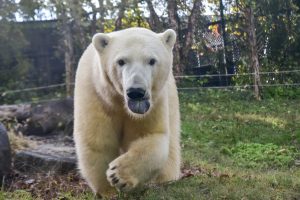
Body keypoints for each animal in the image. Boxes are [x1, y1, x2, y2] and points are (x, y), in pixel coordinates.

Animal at [73, 27, 179, 197]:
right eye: (121, 61)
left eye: (152, 60)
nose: (136, 92)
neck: (120, 102)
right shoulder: (97, 94)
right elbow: (98, 140)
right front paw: (108, 191)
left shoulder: (153, 104)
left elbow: (149, 136)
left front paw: (117, 175)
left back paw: (167, 179)